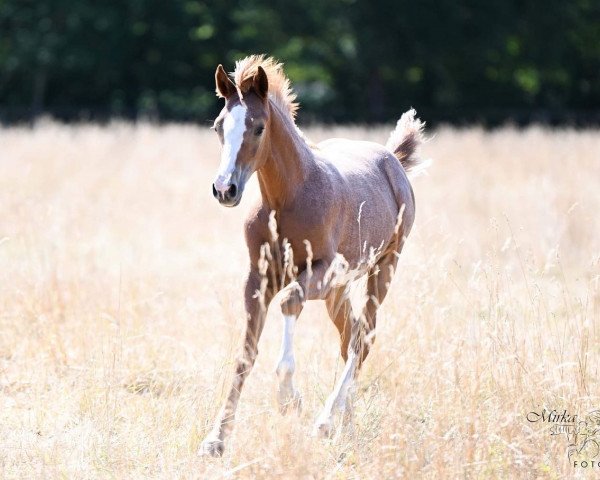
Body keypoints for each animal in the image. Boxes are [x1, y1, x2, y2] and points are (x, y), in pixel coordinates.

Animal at [199, 56, 424, 458]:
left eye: (258, 128)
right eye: (218, 126)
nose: (225, 189)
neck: (288, 198)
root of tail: (393, 160)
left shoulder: (322, 271)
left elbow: (290, 301)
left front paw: (289, 399)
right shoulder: (257, 278)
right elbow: (245, 353)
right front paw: (216, 439)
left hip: (382, 268)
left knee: (364, 336)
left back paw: (326, 421)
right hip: (339, 291)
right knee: (351, 335)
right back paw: (345, 423)